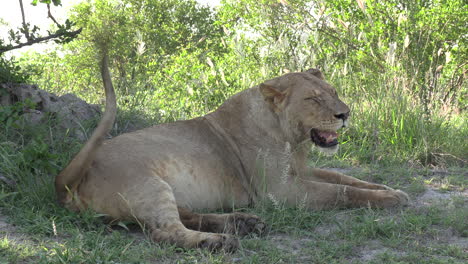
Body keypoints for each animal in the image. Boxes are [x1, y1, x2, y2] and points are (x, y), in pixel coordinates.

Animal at [54, 54, 408, 251]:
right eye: (313, 99)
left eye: (333, 92)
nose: (345, 113)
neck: (291, 139)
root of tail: (69, 181)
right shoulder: (280, 191)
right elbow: (341, 192)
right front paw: (389, 199)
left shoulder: (300, 171)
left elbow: (345, 178)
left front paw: (391, 189)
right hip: (149, 184)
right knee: (165, 232)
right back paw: (220, 242)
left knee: (185, 215)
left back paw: (244, 223)